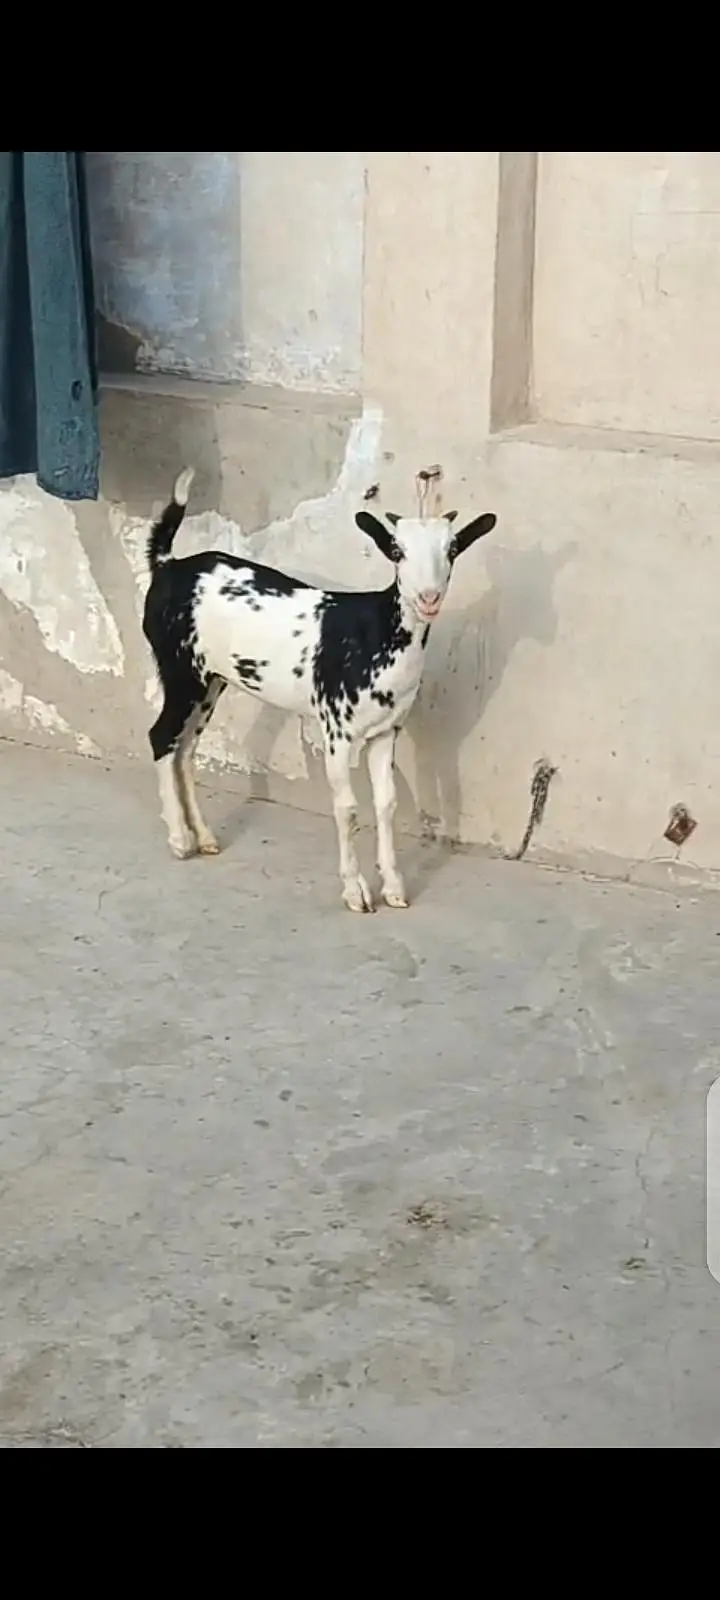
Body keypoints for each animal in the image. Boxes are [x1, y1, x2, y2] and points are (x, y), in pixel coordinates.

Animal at [142, 467, 496, 911]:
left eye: (452, 549)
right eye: (396, 551)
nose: (428, 598)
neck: (378, 632)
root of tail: (166, 564)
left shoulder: (386, 731)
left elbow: (386, 804)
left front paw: (393, 887)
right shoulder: (337, 730)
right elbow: (347, 808)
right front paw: (356, 891)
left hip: (211, 680)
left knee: (185, 747)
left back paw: (204, 836)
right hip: (179, 670)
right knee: (162, 737)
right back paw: (179, 839)